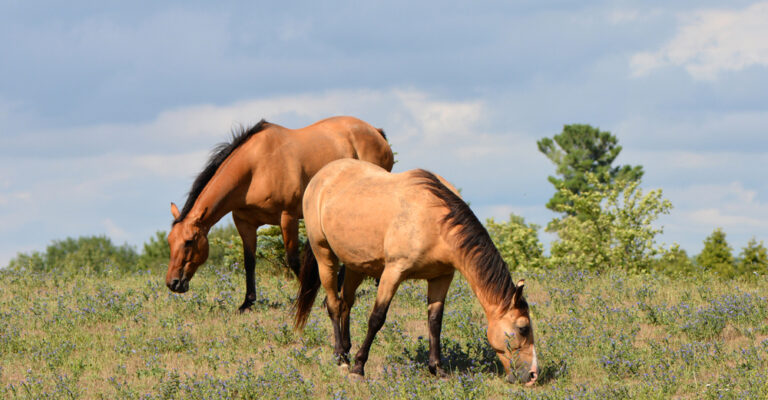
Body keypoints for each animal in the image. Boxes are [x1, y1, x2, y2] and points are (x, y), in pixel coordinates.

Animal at [165, 116, 394, 312]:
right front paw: (247, 303)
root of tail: (376, 132)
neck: (255, 167)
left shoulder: (288, 217)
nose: (173, 283)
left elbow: (293, 260)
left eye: (189, 242)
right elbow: (249, 262)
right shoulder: (244, 222)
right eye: (170, 241)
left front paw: (308, 295)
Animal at [294, 159, 539, 385]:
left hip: (356, 265)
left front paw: (437, 369)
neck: (435, 221)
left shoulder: (441, 277)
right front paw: (358, 367)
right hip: (324, 255)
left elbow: (435, 321)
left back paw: (345, 350)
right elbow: (376, 318)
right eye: (523, 328)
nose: (533, 375)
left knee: (346, 303)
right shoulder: (393, 272)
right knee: (334, 304)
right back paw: (341, 358)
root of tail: (322, 175)